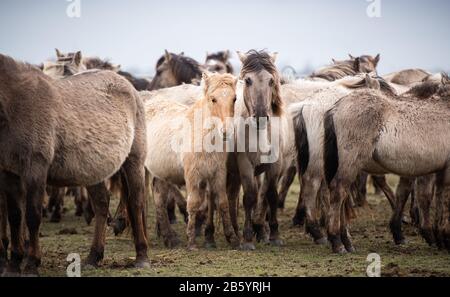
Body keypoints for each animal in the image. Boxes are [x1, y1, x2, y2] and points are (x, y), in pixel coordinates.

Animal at [0, 53, 149, 276]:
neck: (15, 104)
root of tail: (128, 85)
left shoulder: (35, 170)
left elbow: (33, 216)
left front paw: (32, 263)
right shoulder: (9, 174)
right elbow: (15, 217)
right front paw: (13, 264)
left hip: (134, 162)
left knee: (135, 203)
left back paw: (141, 256)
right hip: (93, 170)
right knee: (101, 204)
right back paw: (94, 256)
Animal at [324, 73, 450, 252]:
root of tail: (337, 106)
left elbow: (425, 196)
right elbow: (435, 198)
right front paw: (439, 236)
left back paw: (346, 242)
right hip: (351, 161)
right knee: (339, 190)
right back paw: (337, 242)